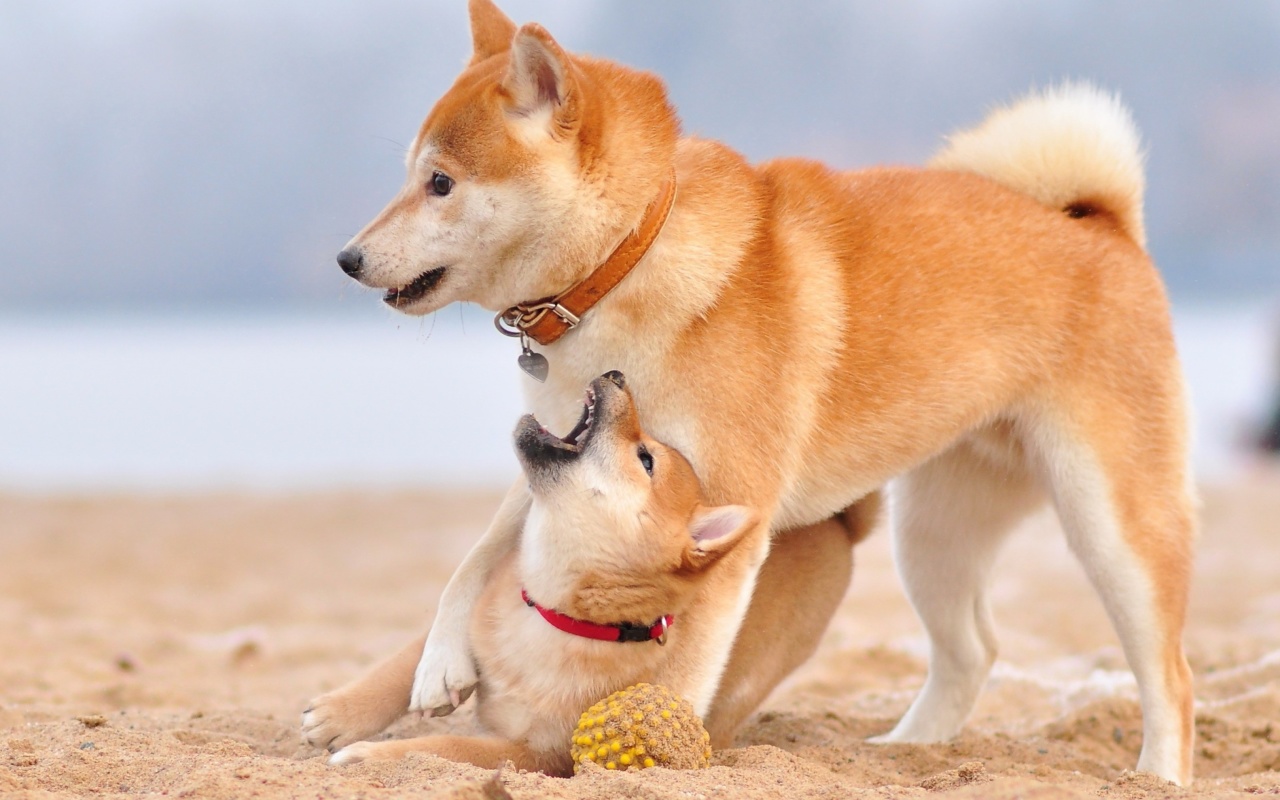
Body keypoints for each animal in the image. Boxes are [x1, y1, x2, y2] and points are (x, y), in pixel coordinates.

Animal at [325, 373, 757, 773]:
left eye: (646, 459)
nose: (616, 375)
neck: (549, 613)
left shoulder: (536, 754)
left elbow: (447, 748)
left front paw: (367, 756)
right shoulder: (481, 605)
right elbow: (411, 658)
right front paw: (337, 715)